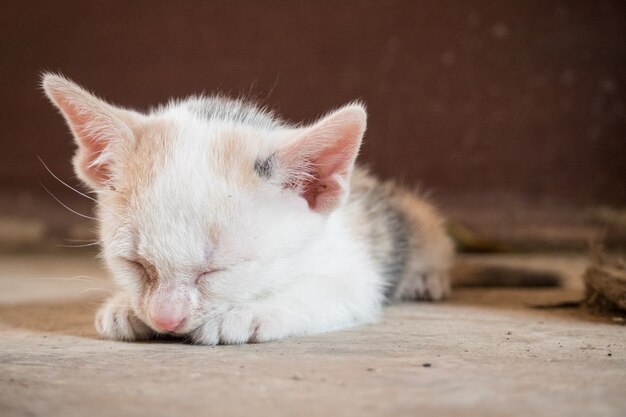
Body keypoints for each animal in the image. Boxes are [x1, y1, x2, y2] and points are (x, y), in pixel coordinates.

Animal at [45, 72, 454, 344]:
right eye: (135, 265)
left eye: (217, 271)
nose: (166, 319)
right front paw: (124, 307)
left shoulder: (355, 274)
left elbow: (322, 291)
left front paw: (248, 313)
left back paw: (427, 278)